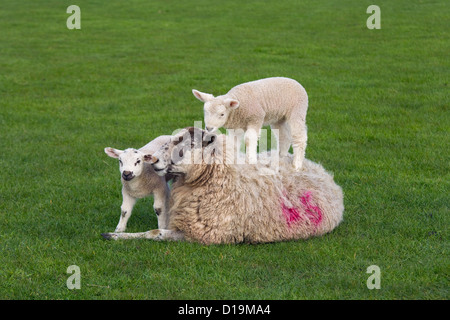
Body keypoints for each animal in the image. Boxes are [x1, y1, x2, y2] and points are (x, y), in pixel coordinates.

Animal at [100, 126, 342, 244]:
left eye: (183, 142)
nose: (153, 160)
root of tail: (323, 172)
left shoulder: (201, 235)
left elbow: (154, 232)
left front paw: (113, 236)